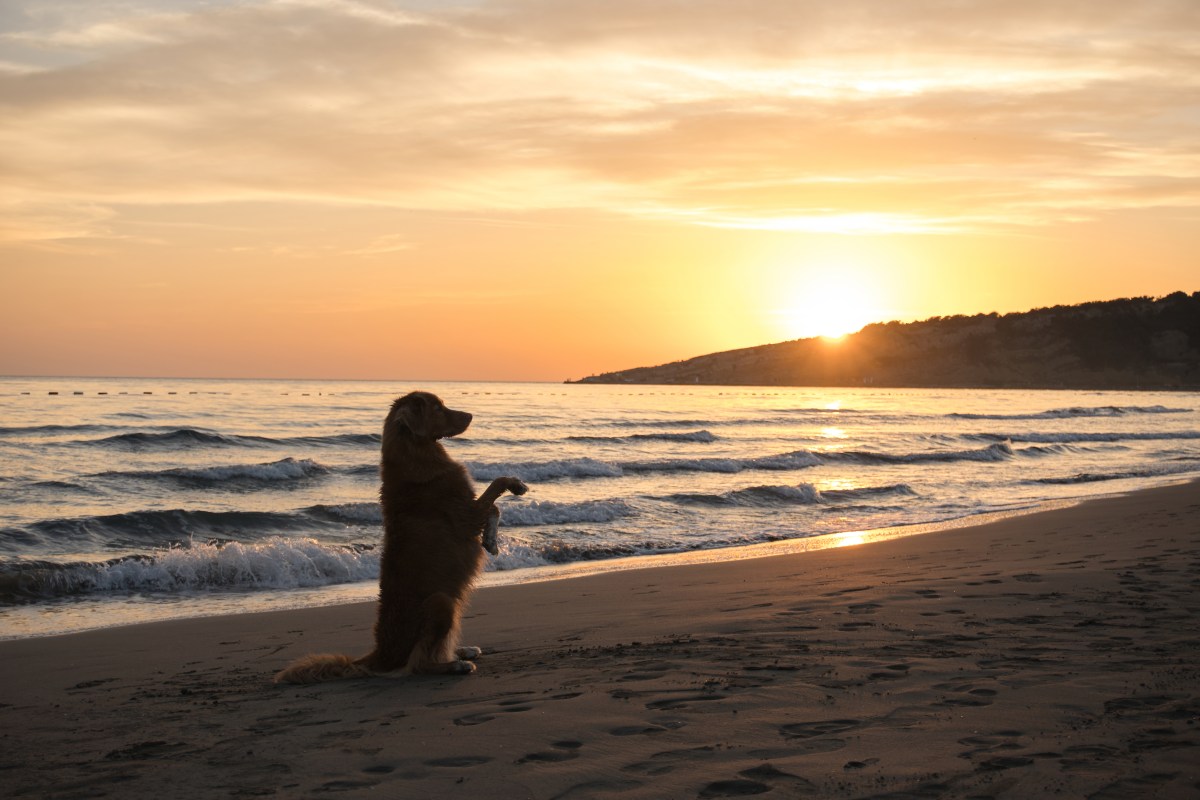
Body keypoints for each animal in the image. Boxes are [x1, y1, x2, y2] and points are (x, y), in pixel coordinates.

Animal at [280, 391, 530, 686]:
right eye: (437, 408)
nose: (470, 415)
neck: (414, 452)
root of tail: (379, 656)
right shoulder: (465, 516)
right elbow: (495, 492)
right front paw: (514, 485)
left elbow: (494, 508)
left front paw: (491, 541)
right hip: (441, 601)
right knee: (420, 664)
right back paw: (455, 665)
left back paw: (461, 651)